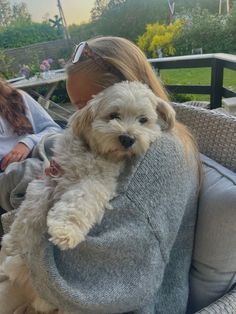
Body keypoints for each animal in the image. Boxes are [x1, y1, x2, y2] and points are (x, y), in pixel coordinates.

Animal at [0, 81, 175, 314]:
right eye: (114, 115)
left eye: (143, 120)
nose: (128, 138)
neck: (93, 152)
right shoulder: (48, 179)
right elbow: (30, 212)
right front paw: (14, 240)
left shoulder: (96, 184)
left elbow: (80, 202)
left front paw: (65, 230)